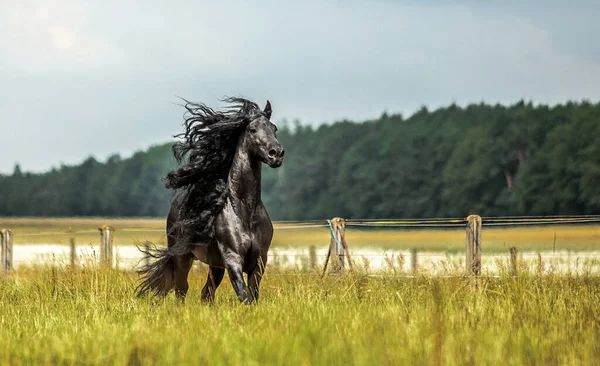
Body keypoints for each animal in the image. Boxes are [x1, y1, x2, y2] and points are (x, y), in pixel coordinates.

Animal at [137, 96, 284, 304]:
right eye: (252, 129)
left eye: (274, 128)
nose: (276, 154)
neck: (245, 211)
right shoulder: (232, 259)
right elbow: (244, 295)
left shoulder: (259, 261)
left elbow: (252, 296)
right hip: (183, 258)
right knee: (181, 289)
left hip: (215, 266)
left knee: (206, 293)